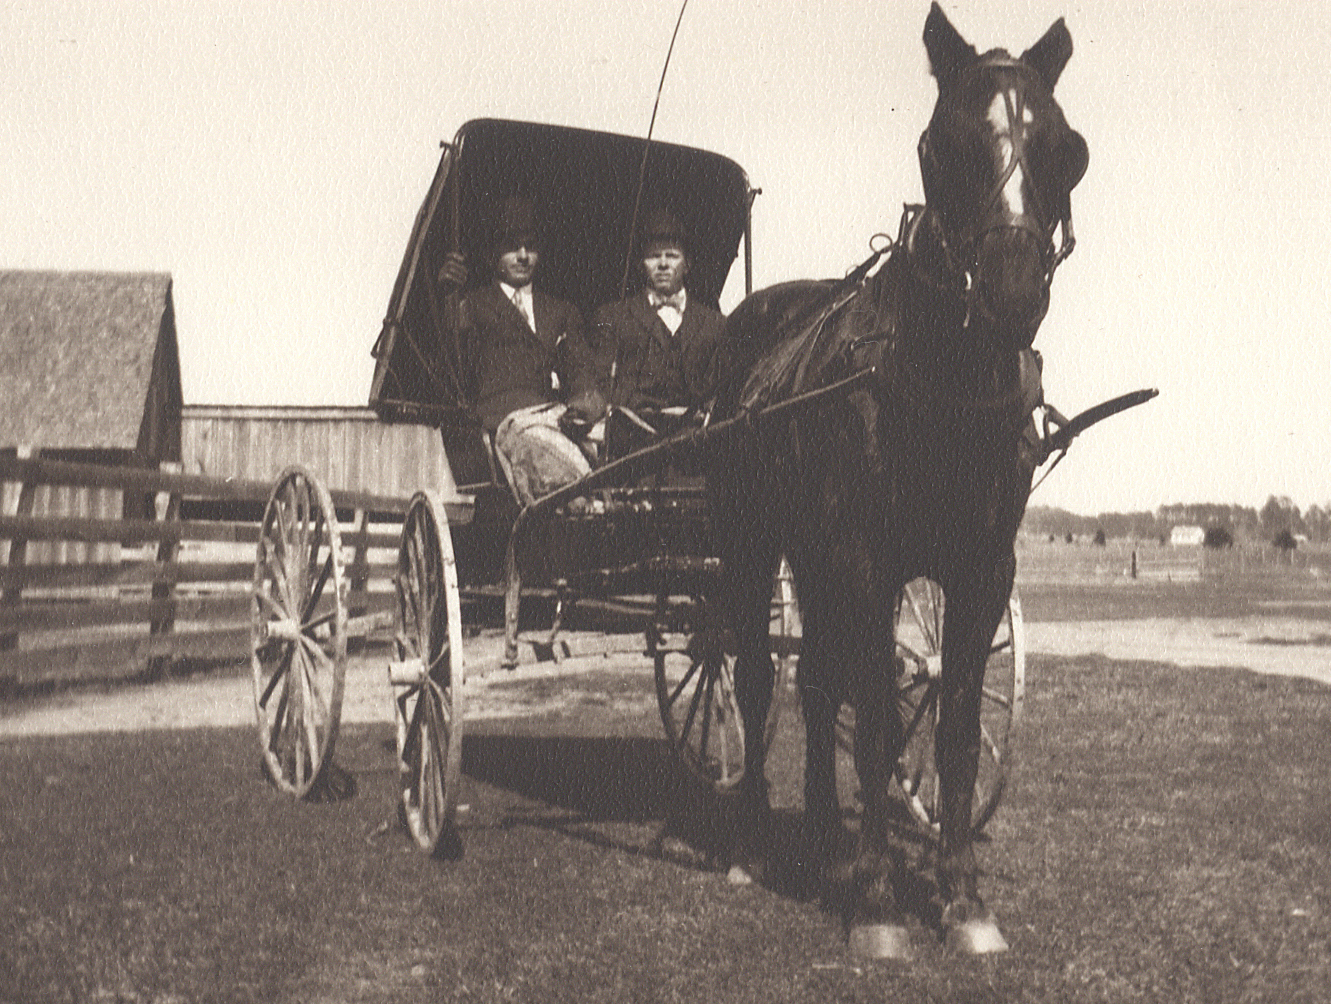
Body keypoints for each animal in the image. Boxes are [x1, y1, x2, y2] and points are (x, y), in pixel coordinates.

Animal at [702, 1, 1086, 953]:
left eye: (1066, 147)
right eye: (944, 142)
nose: (1012, 292)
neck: (938, 383)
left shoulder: (982, 569)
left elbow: (953, 724)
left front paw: (961, 897)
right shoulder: (865, 562)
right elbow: (876, 714)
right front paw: (878, 903)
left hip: (809, 553)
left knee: (812, 679)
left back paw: (824, 845)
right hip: (750, 541)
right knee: (757, 675)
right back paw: (755, 845)